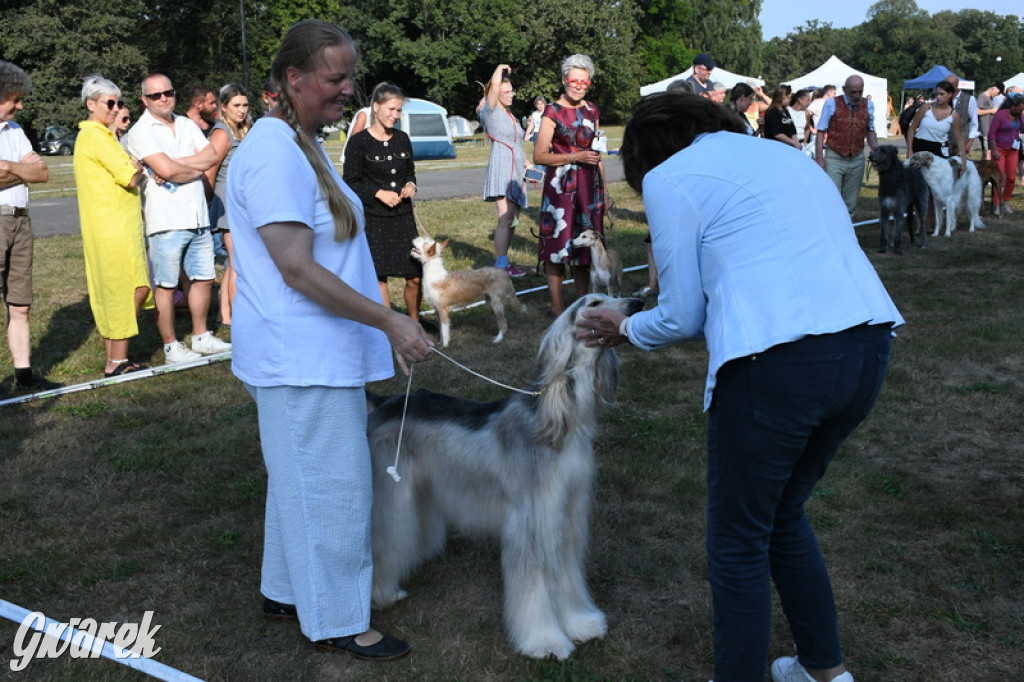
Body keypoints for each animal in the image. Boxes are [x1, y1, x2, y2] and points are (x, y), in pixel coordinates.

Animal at [364, 292, 643, 659]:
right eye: (595, 302)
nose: (637, 304)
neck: (560, 422)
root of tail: (385, 402)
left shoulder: (566, 515)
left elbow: (567, 575)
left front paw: (579, 623)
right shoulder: (532, 520)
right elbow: (535, 586)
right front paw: (545, 641)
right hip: (390, 493)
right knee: (383, 541)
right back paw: (383, 594)